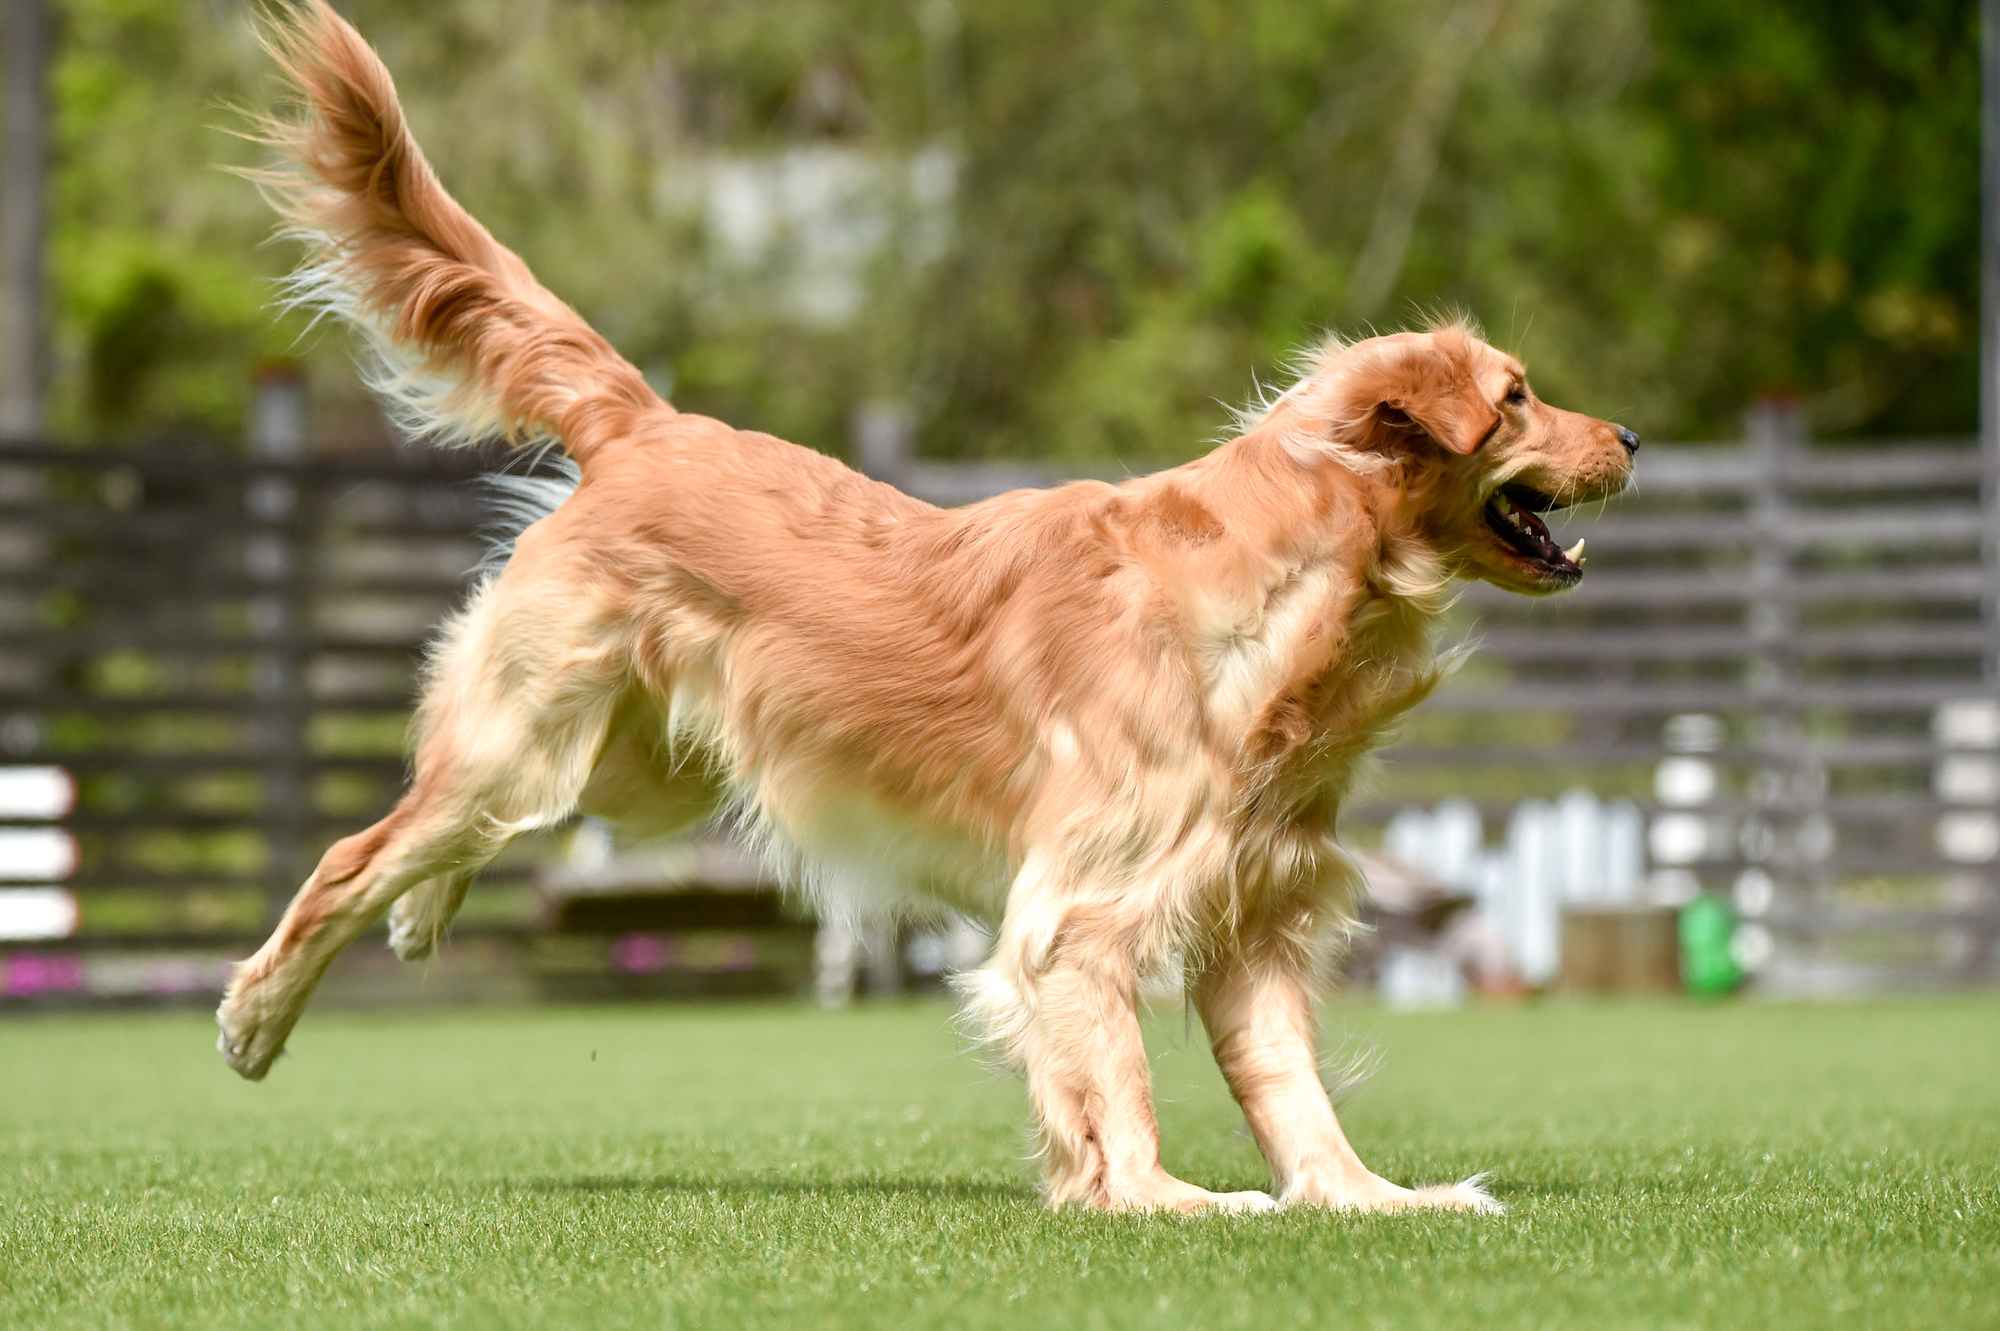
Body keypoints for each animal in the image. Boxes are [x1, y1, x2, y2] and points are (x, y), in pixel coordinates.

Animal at [219, 0, 1632, 1207]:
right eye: (1515, 395)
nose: (1624, 434)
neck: (1281, 593)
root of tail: (647, 424)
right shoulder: (1081, 908)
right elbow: (1113, 1070)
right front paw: (1157, 1197)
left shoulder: (1251, 900)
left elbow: (1286, 1083)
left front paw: (1363, 1197)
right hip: (529, 743)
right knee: (357, 851)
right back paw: (253, 1013)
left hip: (637, 764)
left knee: (432, 839)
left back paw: (420, 916)